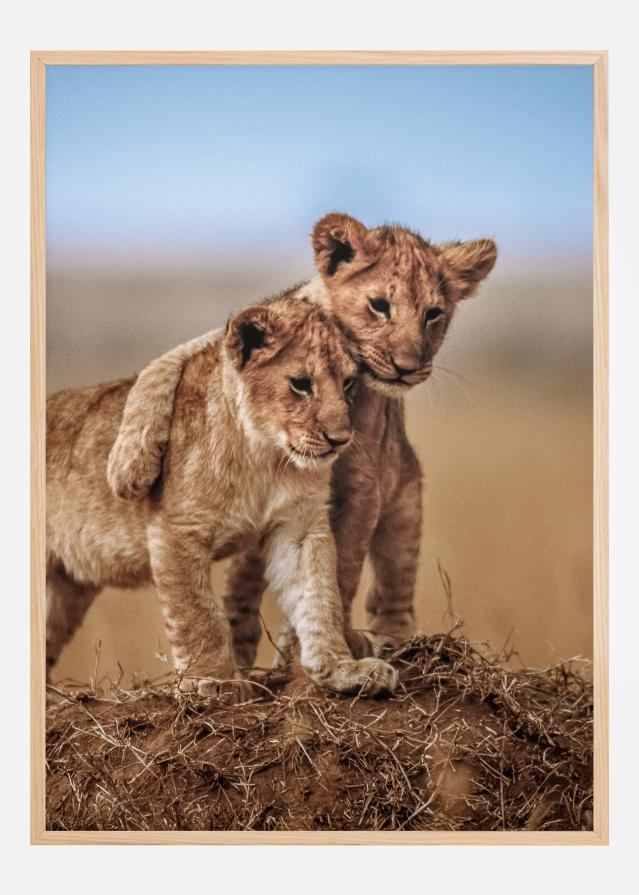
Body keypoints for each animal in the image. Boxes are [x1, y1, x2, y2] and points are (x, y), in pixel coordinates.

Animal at [46, 293, 398, 700]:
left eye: (348, 383)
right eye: (301, 384)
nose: (341, 439)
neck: (265, 457)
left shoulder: (299, 528)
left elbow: (319, 595)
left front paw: (343, 669)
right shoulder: (175, 530)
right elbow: (198, 613)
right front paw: (213, 681)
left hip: (66, 590)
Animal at [107, 213, 497, 665]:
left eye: (434, 314)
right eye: (380, 306)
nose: (407, 367)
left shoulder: (363, 487)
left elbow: (341, 570)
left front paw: (326, 645)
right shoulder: (233, 339)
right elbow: (161, 367)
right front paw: (129, 467)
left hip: (405, 503)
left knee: (392, 589)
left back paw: (391, 643)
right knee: (241, 584)